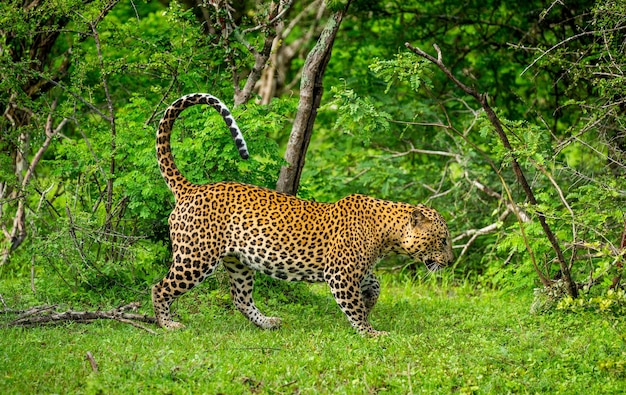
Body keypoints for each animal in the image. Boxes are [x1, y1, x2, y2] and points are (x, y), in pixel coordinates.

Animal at [152, 93, 454, 338]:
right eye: (441, 240)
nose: (450, 261)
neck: (387, 233)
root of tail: (191, 188)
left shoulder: (358, 270)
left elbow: (375, 286)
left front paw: (370, 304)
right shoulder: (340, 273)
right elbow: (354, 307)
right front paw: (371, 332)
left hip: (238, 261)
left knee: (240, 298)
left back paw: (268, 322)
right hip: (195, 257)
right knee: (160, 287)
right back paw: (168, 324)